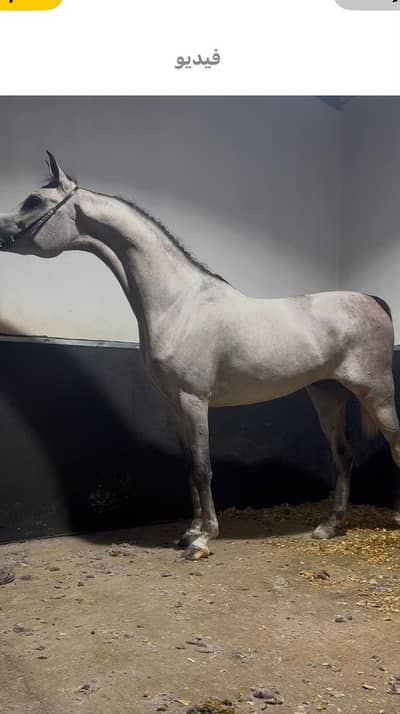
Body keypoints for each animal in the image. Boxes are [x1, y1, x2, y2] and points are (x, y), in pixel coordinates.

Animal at [0, 152, 399, 560]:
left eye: (34, 201)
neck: (177, 302)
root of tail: (372, 300)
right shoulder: (174, 406)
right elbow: (189, 469)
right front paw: (189, 532)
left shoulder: (195, 400)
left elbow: (204, 469)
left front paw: (204, 539)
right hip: (327, 395)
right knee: (343, 455)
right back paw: (328, 526)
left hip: (377, 393)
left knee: (394, 445)